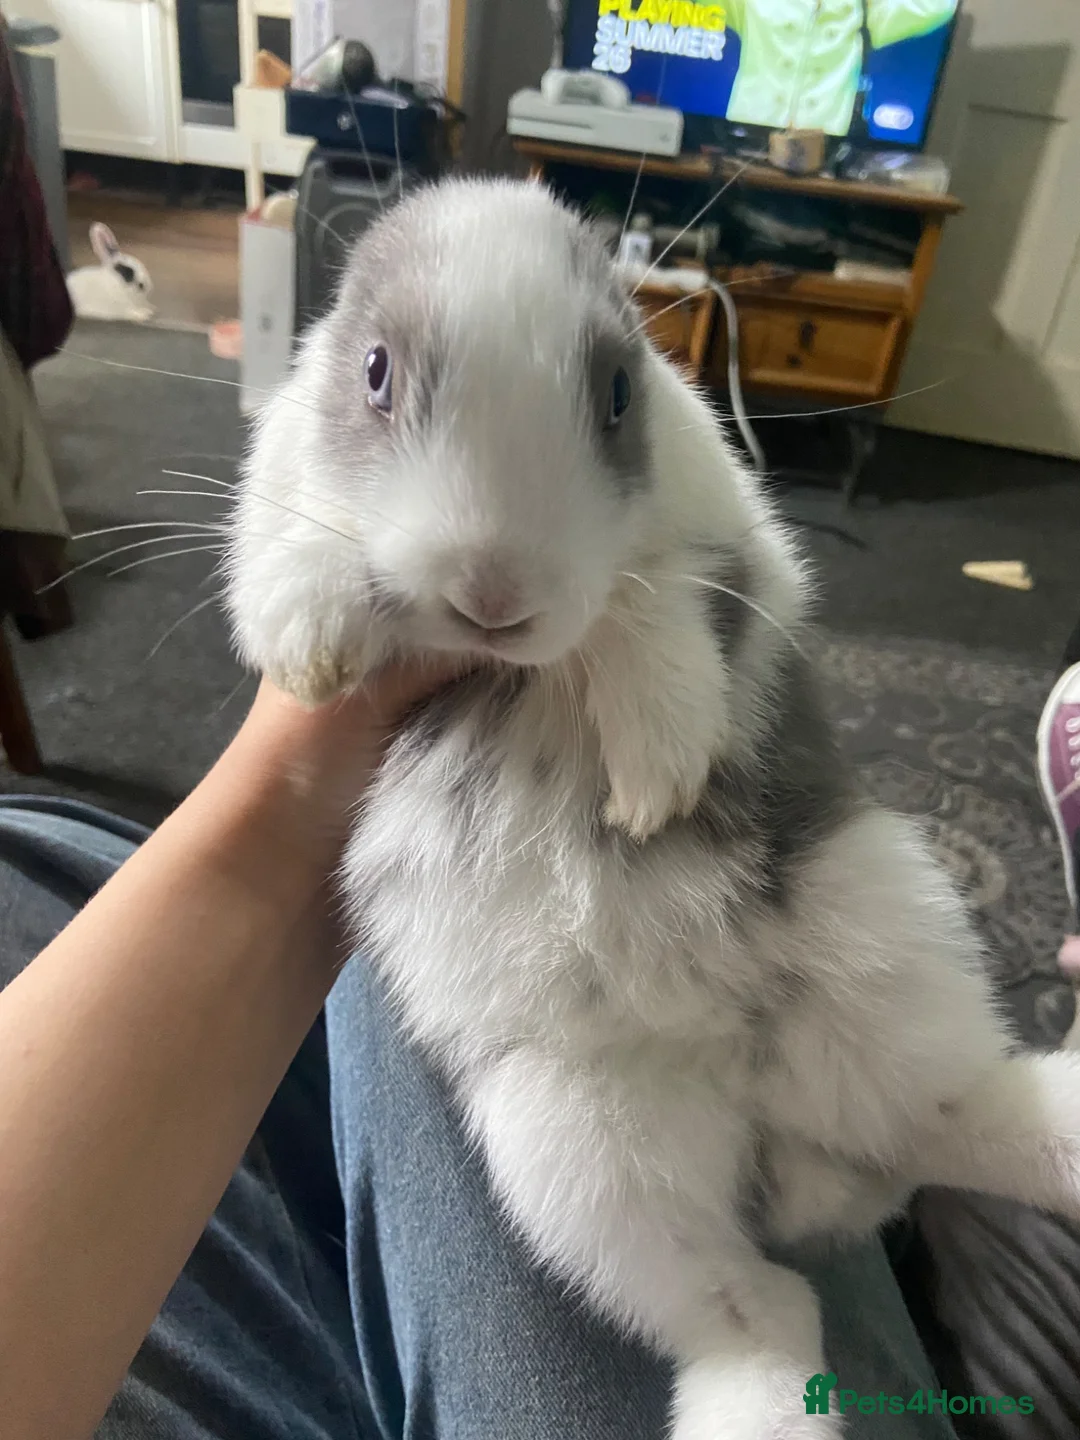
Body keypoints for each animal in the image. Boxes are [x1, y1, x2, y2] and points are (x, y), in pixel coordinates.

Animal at [226, 177, 1080, 1439]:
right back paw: (765, 1408)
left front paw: (657, 776)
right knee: (762, 1300)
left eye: (620, 392)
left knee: (957, 1115)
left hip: (884, 933)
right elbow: (295, 557)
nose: (495, 593)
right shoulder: (270, 498)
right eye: (374, 370)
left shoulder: (735, 552)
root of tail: (772, 1120)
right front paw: (314, 649)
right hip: (575, 1151)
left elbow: (656, 600)